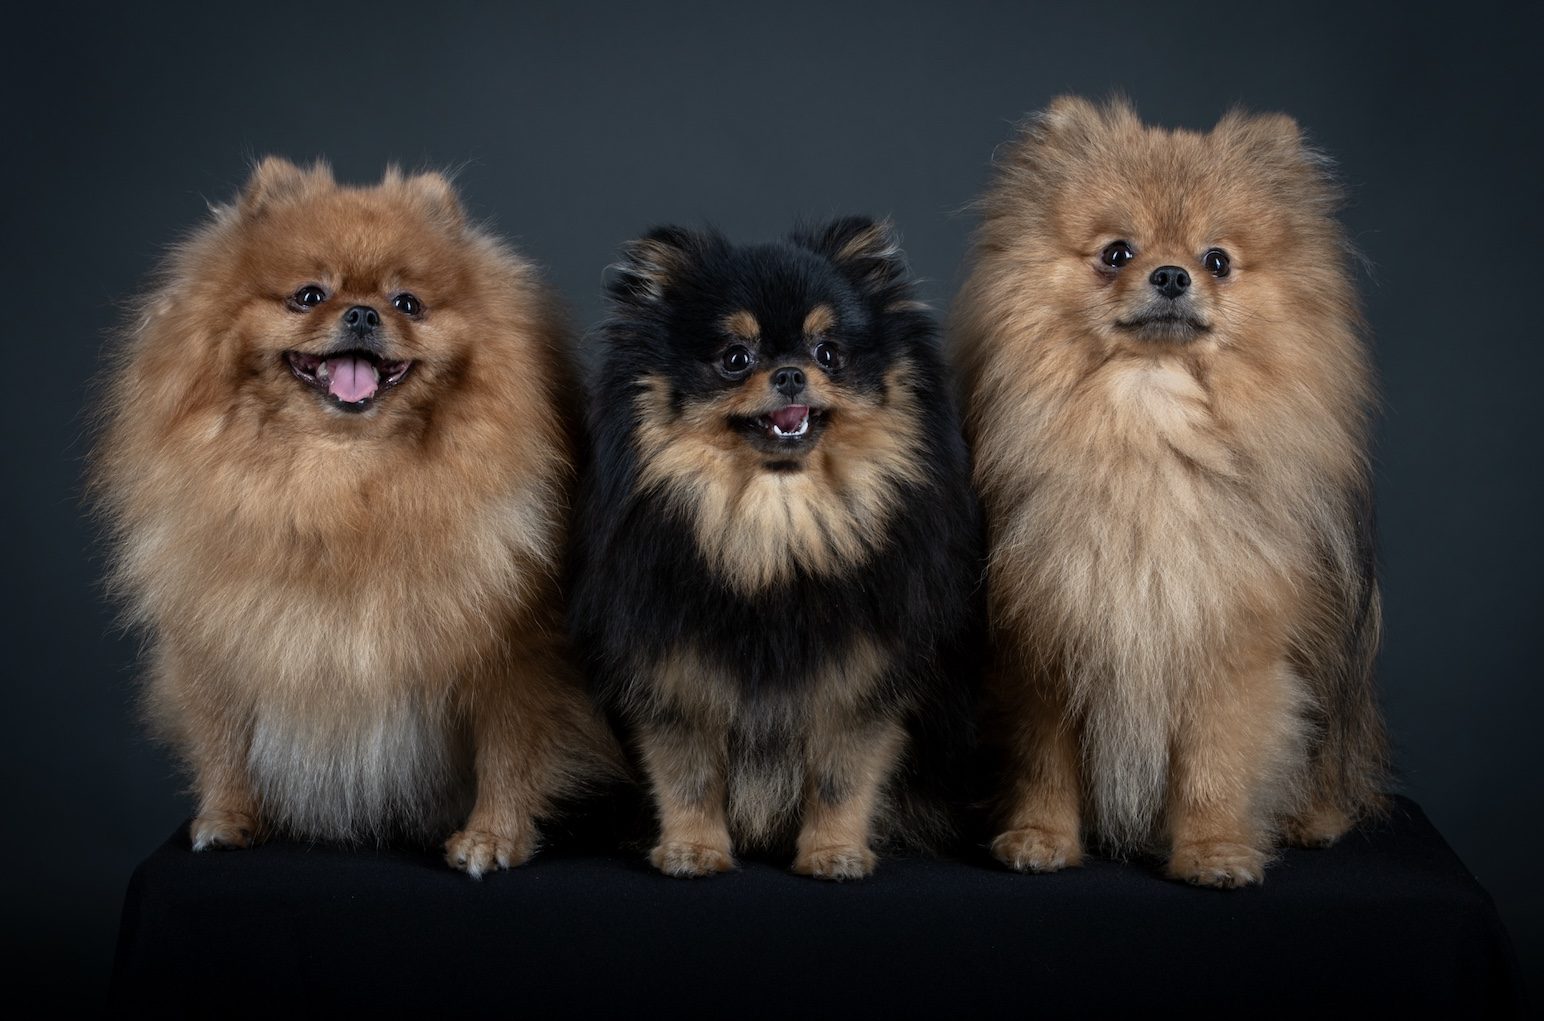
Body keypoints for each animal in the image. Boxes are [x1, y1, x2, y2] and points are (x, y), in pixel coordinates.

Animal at [91, 159, 614, 877]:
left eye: (408, 303)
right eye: (309, 295)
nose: (363, 311)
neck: (342, 481)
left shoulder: (516, 652)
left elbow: (509, 752)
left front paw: (491, 837)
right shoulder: (221, 631)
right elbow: (222, 737)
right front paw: (227, 818)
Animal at [574, 220, 981, 877]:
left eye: (828, 353)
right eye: (735, 359)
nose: (790, 372)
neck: (776, 525)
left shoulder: (858, 677)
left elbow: (842, 777)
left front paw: (834, 853)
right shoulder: (677, 673)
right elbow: (688, 775)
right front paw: (692, 850)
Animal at [951, 99, 1389, 889]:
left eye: (1217, 260)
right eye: (1116, 252)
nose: (1171, 274)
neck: (1147, 431)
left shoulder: (1228, 646)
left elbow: (1215, 766)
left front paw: (1214, 851)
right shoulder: (1047, 643)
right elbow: (1043, 762)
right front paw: (1039, 837)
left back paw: (1312, 821)